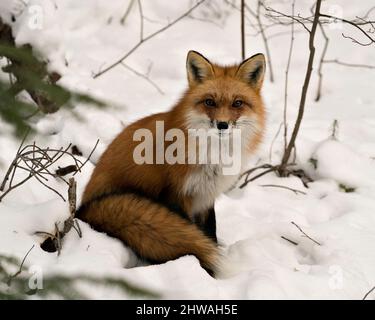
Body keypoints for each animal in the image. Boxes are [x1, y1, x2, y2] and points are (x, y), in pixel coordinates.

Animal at [75, 50, 268, 276]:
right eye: (209, 102)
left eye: (237, 103)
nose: (222, 125)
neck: (213, 156)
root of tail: (81, 210)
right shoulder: (178, 194)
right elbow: (193, 234)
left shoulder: (205, 196)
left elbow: (209, 231)